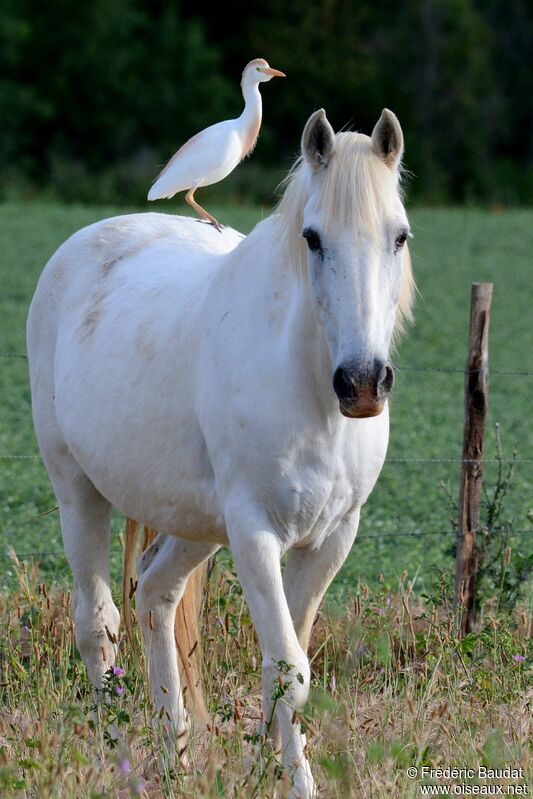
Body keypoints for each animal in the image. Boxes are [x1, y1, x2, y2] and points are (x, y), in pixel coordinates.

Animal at [27, 108, 414, 799]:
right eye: (312, 239)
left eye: (399, 236)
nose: (363, 384)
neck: (307, 391)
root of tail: (80, 246)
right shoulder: (255, 533)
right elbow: (288, 668)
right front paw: (292, 780)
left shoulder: (332, 538)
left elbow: (288, 666)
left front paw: (265, 767)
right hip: (78, 491)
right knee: (98, 623)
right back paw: (118, 760)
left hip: (197, 526)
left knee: (155, 595)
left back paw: (175, 758)